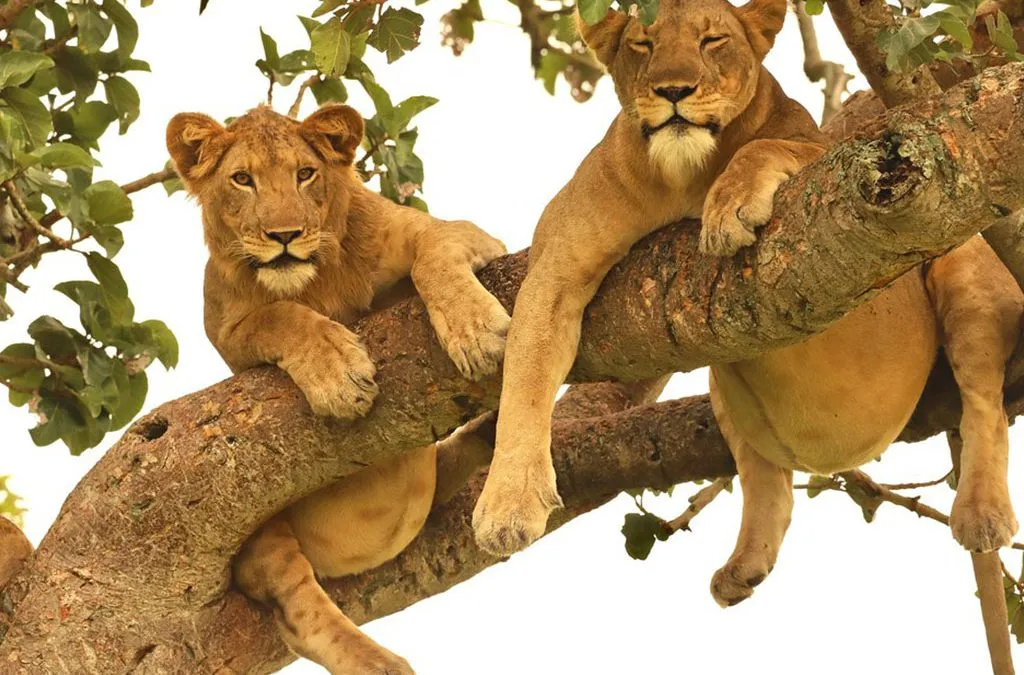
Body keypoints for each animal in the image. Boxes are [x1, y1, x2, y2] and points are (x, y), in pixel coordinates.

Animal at [167, 104, 509, 674]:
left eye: (305, 173)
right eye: (242, 179)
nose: (285, 235)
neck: (314, 282)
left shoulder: (450, 232)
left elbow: (435, 253)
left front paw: (476, 331)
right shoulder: (229, 335)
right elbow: (280, 316)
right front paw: (338, 376)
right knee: (300, 616)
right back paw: (382, 665)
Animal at [472, 0, 1021, 646]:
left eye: (712, 41)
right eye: (642, 43)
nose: (674, 90)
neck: (683, 177)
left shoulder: (847, 189)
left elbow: (771, 148)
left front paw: (729, 206)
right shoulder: (554, 274)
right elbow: (526, 377)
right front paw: (507, 505)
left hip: (963, 265)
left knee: (983, 401)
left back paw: (982, 512)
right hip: (728, 388)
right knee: (766, 477)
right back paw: (743, 567)